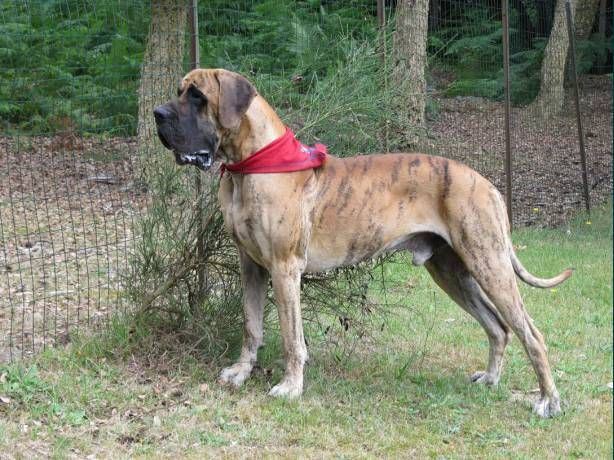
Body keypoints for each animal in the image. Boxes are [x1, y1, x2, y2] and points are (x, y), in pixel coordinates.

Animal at [154, 68, 572, 417]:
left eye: (197, 96)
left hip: (489, 264)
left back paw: (549, 401)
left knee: (532, 334)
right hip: (453, 272)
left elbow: (292, 337)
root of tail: (488, 184)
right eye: (179, 91)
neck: (251, 164)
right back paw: (490, 379)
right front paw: (241, 372)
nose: (157, 113)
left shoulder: (284, 268)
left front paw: (291, 387)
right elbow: (251, 325)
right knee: (498, 327)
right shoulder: (251, 266)